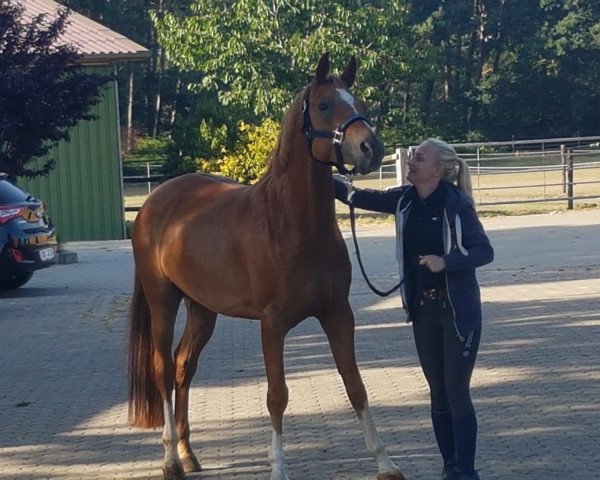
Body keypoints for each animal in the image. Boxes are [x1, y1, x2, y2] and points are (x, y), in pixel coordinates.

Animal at [129, 53, 406, 480]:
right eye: (323, 105)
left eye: (358, 102)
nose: (370, 148)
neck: (292, 225)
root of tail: (153, 203)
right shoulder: (272, 324)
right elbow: (277, 395)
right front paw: (277, 468)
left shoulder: (337, 314)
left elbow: (356, 386)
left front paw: (386, 462)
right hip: (163, 302)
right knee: (162, 370)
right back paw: (171, 459)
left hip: (202, 310)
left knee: (182, 367)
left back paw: (189, 454)